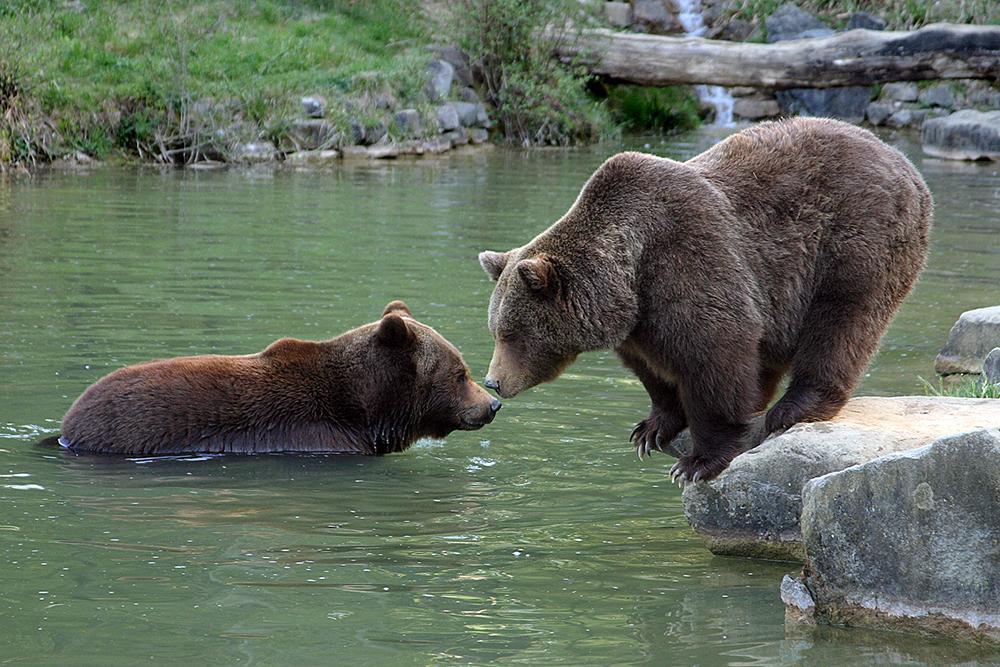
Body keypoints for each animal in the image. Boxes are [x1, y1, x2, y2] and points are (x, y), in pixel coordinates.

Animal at [480, 117, 932, 486]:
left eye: (512, 333)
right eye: (497, 330)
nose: (493, 381)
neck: (629, 277)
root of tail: (904, 164)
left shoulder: (687, 259)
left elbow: (715, 355)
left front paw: (697, 461)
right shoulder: (639, 324)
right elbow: (654, 371)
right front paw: (651, 429)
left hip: (856, 241)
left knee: (841, 322)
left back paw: (793, 408)